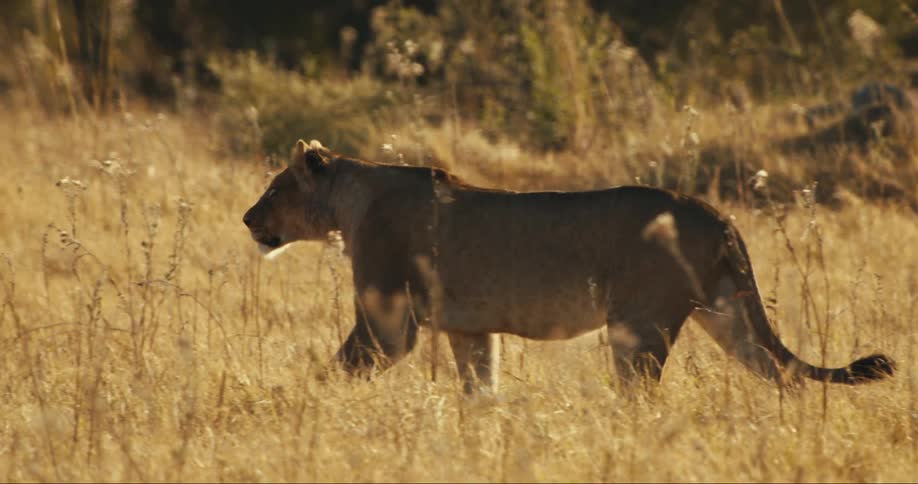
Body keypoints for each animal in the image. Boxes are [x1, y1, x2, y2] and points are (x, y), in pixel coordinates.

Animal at [242, 139, 895, 393]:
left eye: (274, 189)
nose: (247, 218)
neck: (350, 199)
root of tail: (718, 214)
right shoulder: (471, 330)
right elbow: (481, 390)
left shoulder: (388, 323)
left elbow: (337, 370)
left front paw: (299, 401)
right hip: (725, 315)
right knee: (783, 374)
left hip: (639, 328)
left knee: (643, 393)